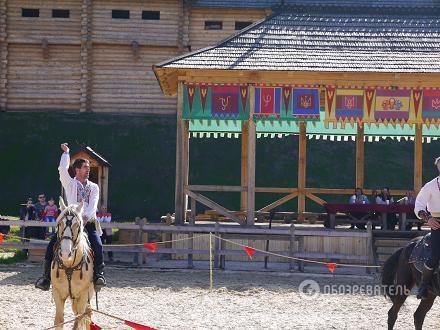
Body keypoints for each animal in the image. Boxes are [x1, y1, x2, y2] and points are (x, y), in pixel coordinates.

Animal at [52, 197, 94, 328]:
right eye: (60, 223)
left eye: (77, 224)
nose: (65, 253)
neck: (69, 266)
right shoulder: (58, 293)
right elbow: (59, 321)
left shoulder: (83, 294)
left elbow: (78, 321)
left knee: (86, 314)